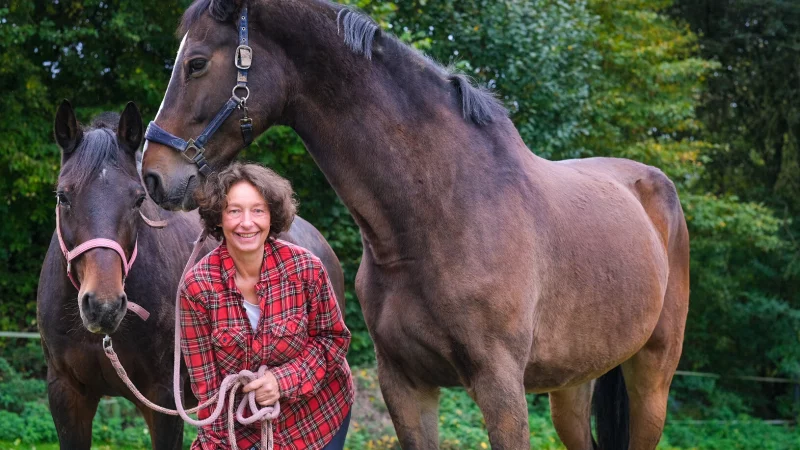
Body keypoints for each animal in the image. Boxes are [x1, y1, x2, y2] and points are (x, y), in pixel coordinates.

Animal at [140, 1, 691, 448]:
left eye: (196, 63)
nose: (153, 174)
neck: (438, 216)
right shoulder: (406, 385)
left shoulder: (500, 386)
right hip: (573, 384)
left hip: (653, 377)